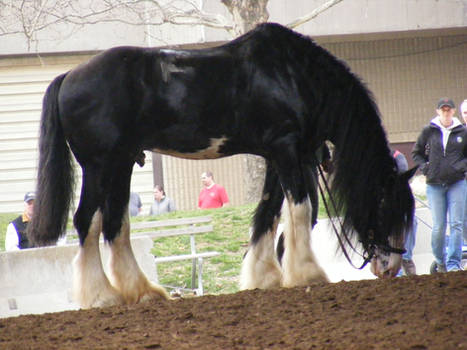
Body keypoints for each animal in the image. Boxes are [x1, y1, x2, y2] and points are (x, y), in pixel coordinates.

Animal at [28, 23, 416, 308]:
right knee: (87, 222)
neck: (295, 75)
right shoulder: (287, 149)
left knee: (114, 225)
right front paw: (307, 274)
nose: (392, 266)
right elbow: (300, 209)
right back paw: (101, 297)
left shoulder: (277, 156)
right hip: (99, 166)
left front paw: (265, 277)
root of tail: (69, 76)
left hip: (121, 164)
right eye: (386, 206)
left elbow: (269, 214)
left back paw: (143, 293)